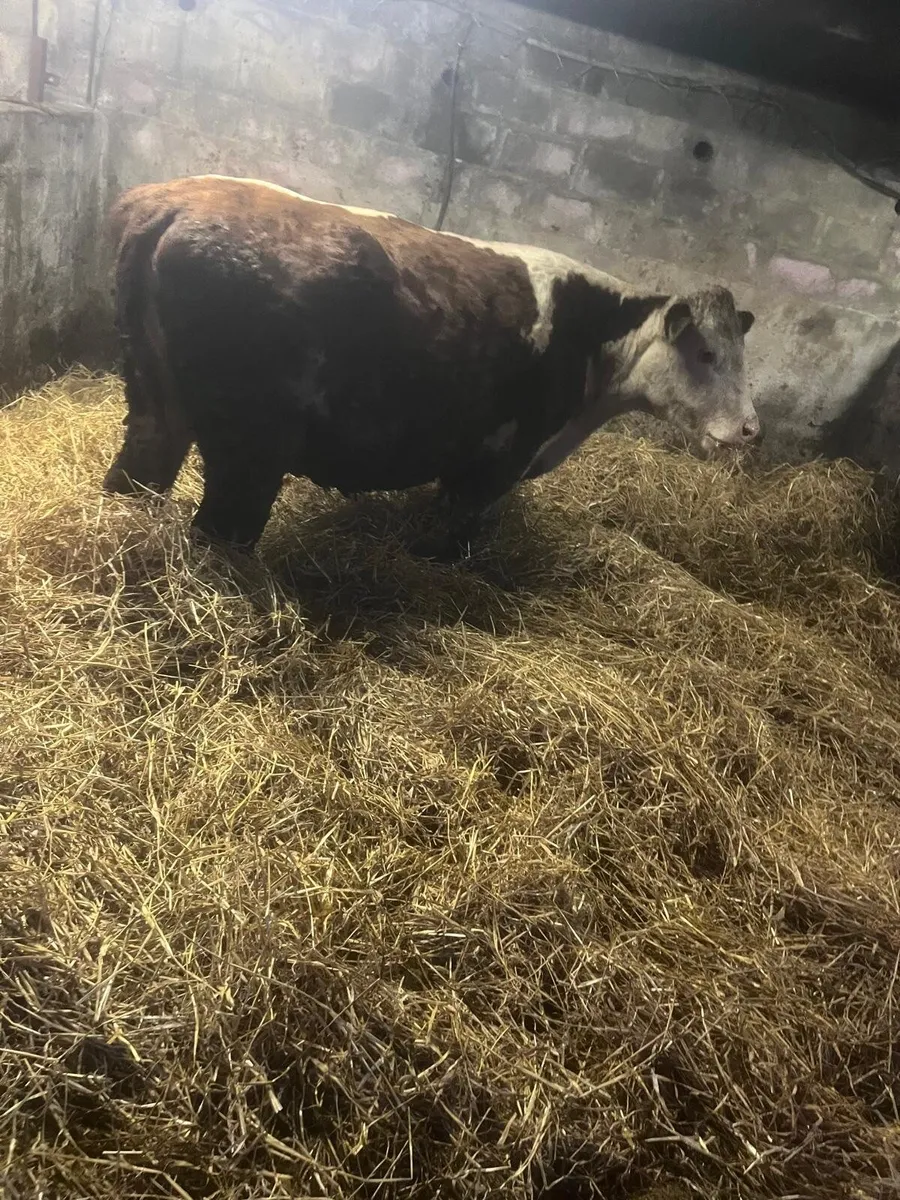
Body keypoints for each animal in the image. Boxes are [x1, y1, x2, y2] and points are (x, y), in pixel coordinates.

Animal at [103, 174, 758, 559]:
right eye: (706, 353)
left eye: (740, 353)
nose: (751, 428)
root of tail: (179, 199)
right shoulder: (498, 459)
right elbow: (458, 531)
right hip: (251, 447)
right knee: (222, 529)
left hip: (154, 406)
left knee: (133, 480)